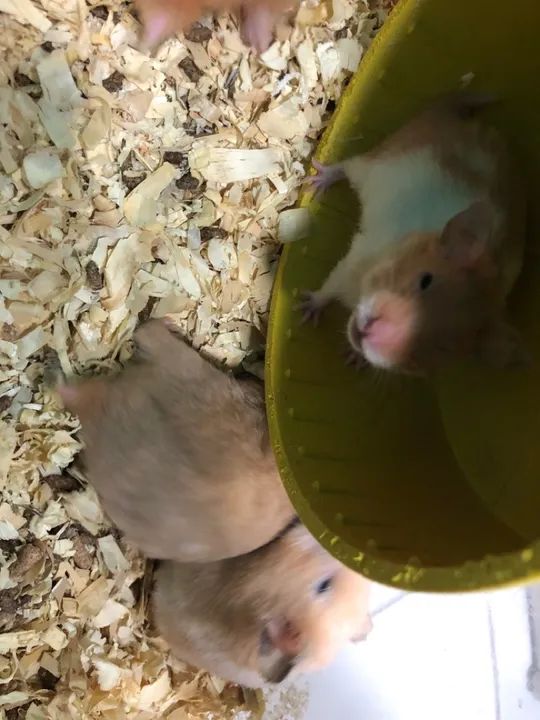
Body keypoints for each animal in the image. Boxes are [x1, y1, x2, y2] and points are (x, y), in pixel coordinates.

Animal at [302, 95, 527, 374]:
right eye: (425, 280)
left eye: (439, 345)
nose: (369, 333)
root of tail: (453, 114)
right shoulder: (354, 260)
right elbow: (328, 287)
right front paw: (305, 310)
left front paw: (353, 359)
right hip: (378, 160)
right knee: (346, 166)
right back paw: (319, 180)